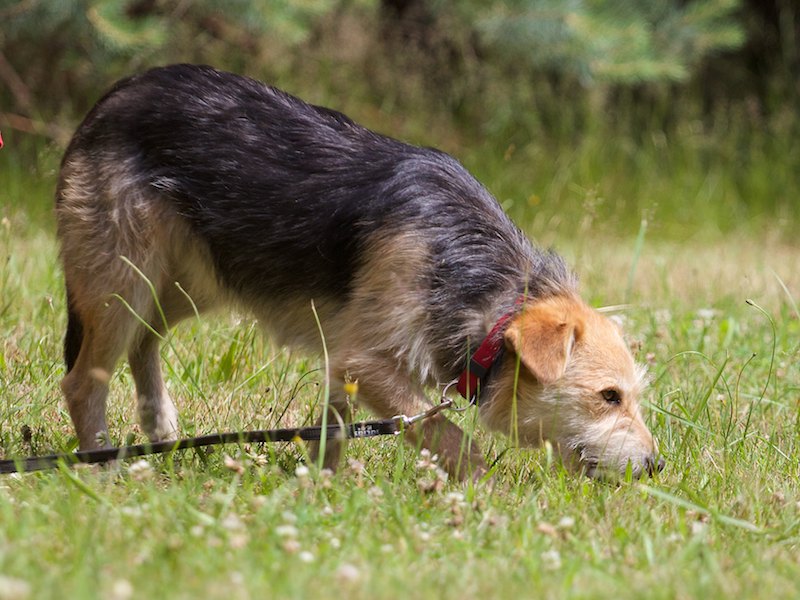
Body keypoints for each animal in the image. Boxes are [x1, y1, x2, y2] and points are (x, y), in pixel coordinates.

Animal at [55, 64, 662, 480]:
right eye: (609, 396)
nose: (657, 467)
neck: (489, 292)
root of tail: (110, 99)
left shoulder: (343, 358)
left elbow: (333, 428)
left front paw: (321, 488)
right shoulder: (365, 359)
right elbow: (447, 435)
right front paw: (481, 493)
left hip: (197, 276)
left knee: (145, 339)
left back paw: (159, 425)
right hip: (123, 279)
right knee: (84, 380)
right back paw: (102, 469)